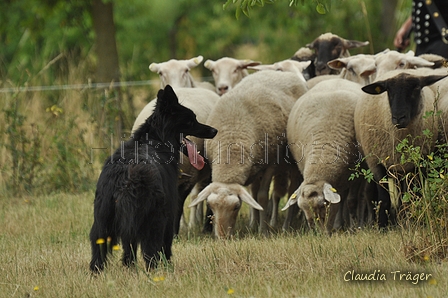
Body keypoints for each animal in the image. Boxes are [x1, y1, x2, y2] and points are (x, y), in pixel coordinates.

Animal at [89, 84, 217, 272]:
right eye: (190, 120)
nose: (215, 130)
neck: (156, 139)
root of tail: (125, 175)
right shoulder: (170, 210)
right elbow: (167, 244)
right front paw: (168, 265)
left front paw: (130, 268)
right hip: (153, 220)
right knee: (151, 253)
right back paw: (157, 272)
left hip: (102, 222)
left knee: (99, 255)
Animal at [186, 69, 308, 237]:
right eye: (211, 205)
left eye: (236, 207)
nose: (222, 238)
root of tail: (280, 72)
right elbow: (254, 196)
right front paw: (254, 225)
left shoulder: (270, 164)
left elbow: (262, 197)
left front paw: (263, 231)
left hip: (293, 163)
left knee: (291, 192)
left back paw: (286, 225)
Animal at [284, 78, 364, 233]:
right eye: (302, 208)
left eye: (322, 205)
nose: (317, 232)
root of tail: (336, 78)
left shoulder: (359, 175)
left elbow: (352, 201)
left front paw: (356, 227)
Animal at [354, 69, 444, 228]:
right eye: (388, 91)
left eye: (416, 88)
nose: (398, 118)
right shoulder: (376, 163)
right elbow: (384, 199)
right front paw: (382, 226)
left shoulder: (418, 165)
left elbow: (415, 194)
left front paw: (414, 221)